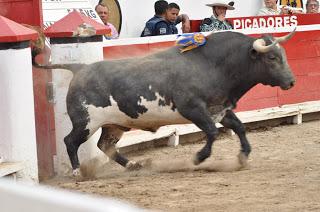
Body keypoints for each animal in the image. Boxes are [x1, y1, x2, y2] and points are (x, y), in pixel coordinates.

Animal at [34, 29, 296, 176]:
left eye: (283, 55)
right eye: (272, 58)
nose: (291, 82)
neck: (213, 65)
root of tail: (80, 68)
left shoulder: (219, 109)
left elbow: (239, 127)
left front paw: (243, 156)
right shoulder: (193, 109)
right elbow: (212, 132)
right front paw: (198, 158)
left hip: (114, 124)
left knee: (105, 145)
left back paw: (133, 165)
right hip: (86, 123)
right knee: (71, 141)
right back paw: (78, 171)